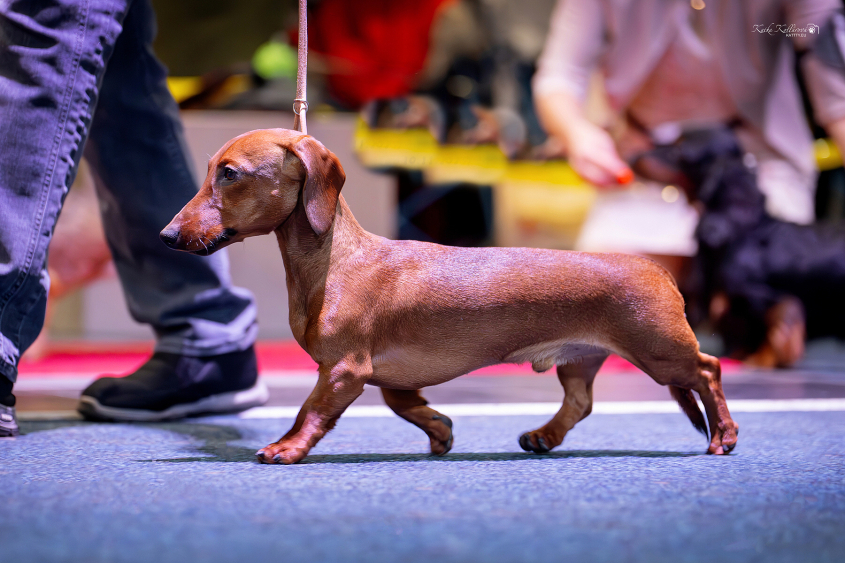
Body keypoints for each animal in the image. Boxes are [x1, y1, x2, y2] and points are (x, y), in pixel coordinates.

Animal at [160, 128, 738, 464]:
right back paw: (543, 437)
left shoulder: (344, 370)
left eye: (229, 173)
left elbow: (312, 411)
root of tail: (655, 268)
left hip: (660, 352)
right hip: (580, 359)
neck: (334, 262)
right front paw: (439, 429)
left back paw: (724, 437)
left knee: (708, 371)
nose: (166, 236)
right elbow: (403, 403)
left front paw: (288, 448)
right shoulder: (385, 373)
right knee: (580, 402)